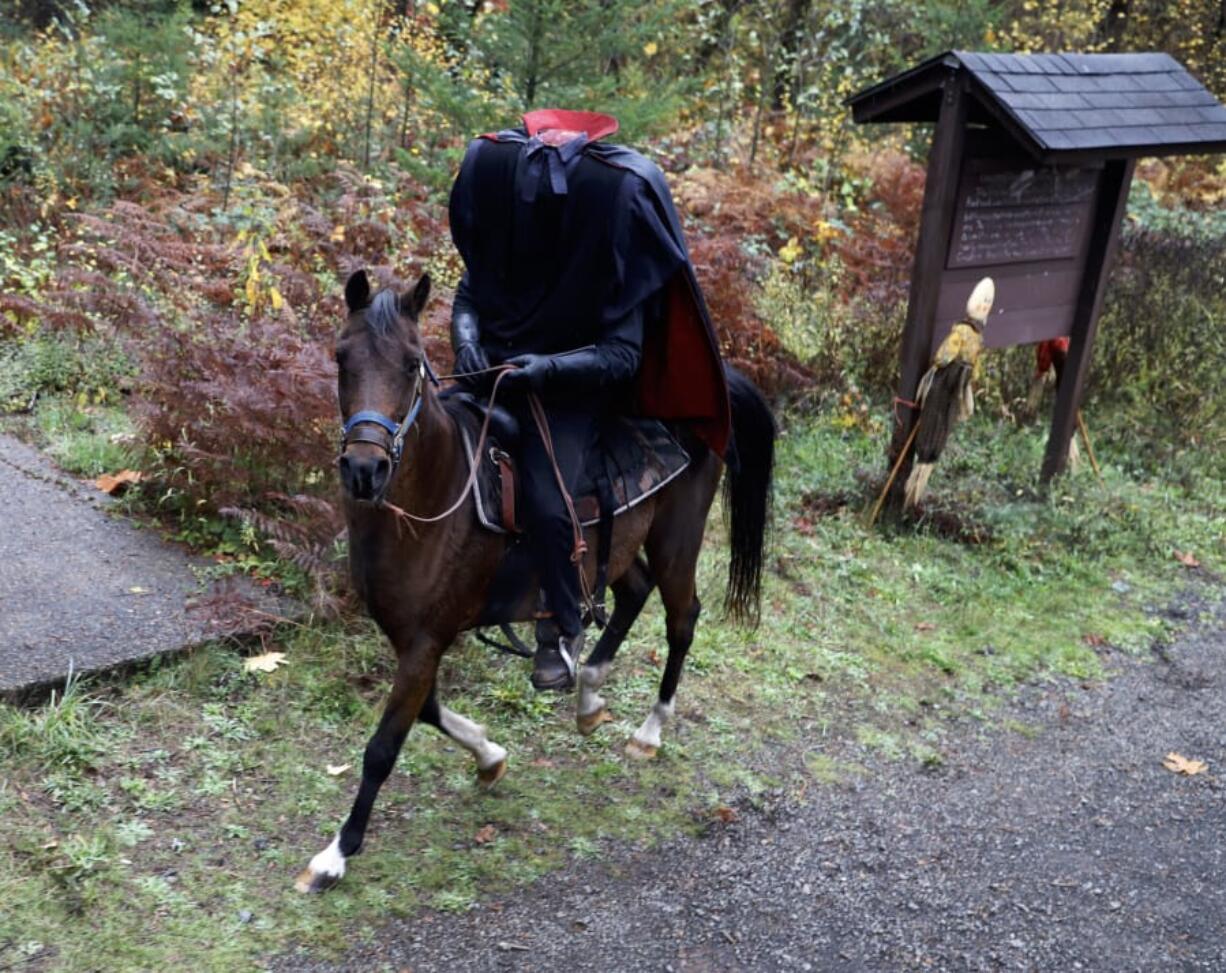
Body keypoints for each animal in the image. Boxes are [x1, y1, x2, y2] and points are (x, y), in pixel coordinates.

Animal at [294, 269, 774, 892]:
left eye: (411, 362)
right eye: (341, 357)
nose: (364, 469)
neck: (432, 502)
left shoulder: (425, 641)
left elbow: (383, 746)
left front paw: (336, 854)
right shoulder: (412, 639)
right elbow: (426, 712)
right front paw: (489, 756)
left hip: (677, 537)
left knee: (682, 618)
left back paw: (649, 731)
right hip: (618, 543)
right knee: (632, 592)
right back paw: (588, 691)